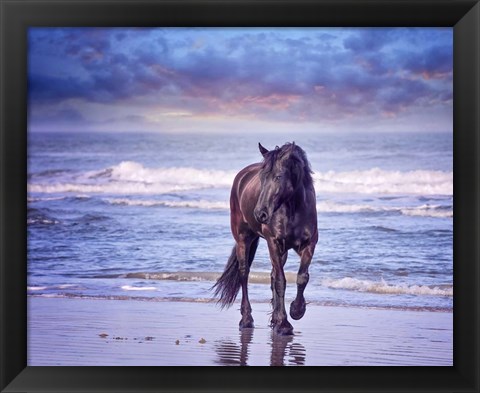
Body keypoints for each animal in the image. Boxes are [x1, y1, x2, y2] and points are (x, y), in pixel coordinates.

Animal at [214, 141, 318, 334]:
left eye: (278, 177)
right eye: (262, 178)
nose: (259, 214)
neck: (293, 209)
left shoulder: (309, 244)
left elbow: (302, 277)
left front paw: (296, 311)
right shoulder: (273, 243)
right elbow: (280, 281)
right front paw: (284, 324)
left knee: (272, 275)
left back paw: (274, 319)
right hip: (243, 239)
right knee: (244, 273)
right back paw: (246, 319)